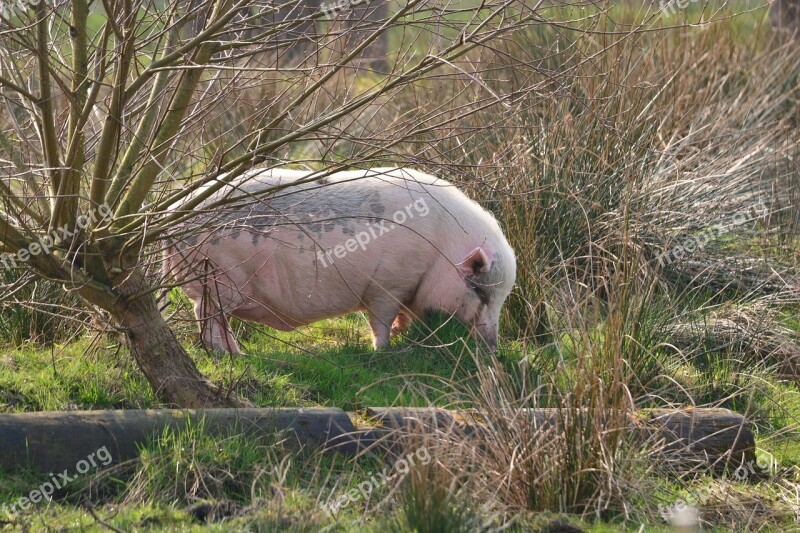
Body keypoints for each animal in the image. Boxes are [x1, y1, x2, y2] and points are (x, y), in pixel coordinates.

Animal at [162, 167, 516, 354]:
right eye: (481, 292)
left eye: (501, 297)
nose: (493, 348)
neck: (441, 249)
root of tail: (172, 216)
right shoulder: (387, 284)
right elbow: (380, 319)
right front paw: (383, 350)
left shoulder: (409, 289)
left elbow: (405, 316)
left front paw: (400, 334)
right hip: (218, 278)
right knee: (208, 317)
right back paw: (230, 355)